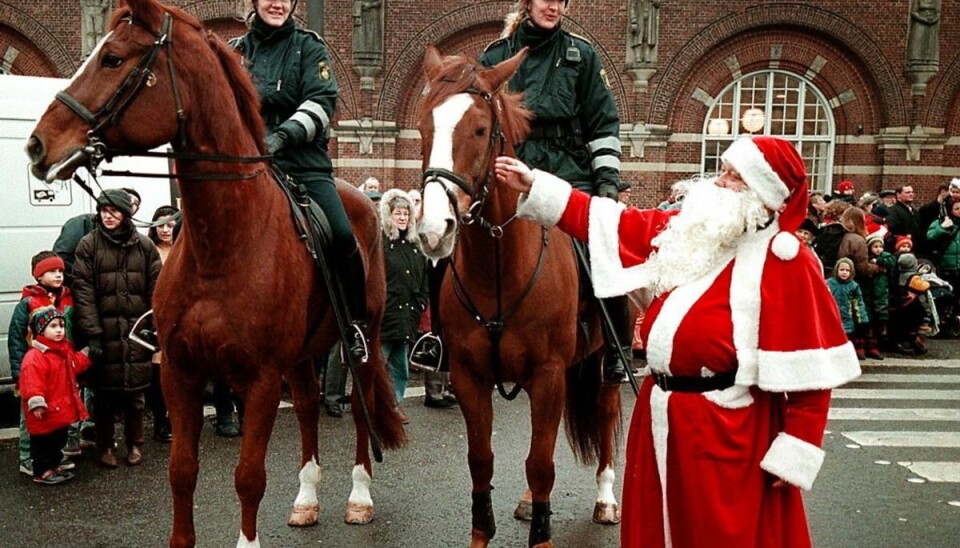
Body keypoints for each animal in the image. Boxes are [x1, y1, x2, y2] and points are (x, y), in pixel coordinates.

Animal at [23, 0, 404, 544]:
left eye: (113, 58)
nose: (38, 146)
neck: (221, 244)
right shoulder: (180, 372)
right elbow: (182, 471)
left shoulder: (261, 379)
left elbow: (248, 477)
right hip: (303, 353)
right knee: (308, 405)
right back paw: (306, 499)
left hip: (364, 339)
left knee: (358, 408)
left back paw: (358, 497)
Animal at [416, 48, 628, 548]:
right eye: (423, 128)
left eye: (479, 129)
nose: (434, 230)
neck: (500, 265)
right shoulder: (469, 377)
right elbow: (482, 462)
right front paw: (482, 532)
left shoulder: (548, 376)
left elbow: (541, 464)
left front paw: (542, 536)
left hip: (601, 365)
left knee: (606, 417)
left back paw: (605, 499)